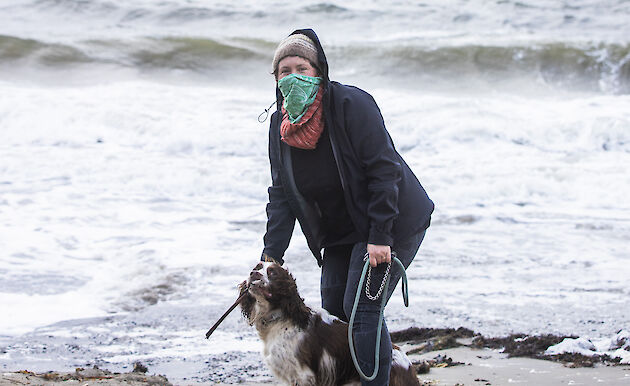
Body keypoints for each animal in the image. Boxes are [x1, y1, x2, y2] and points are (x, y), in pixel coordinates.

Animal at [239, 260, 422, 384]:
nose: (253, 273)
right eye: (257, 267)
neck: (281, 318)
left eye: (272, 273)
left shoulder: (303, 374)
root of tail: (409, 367)